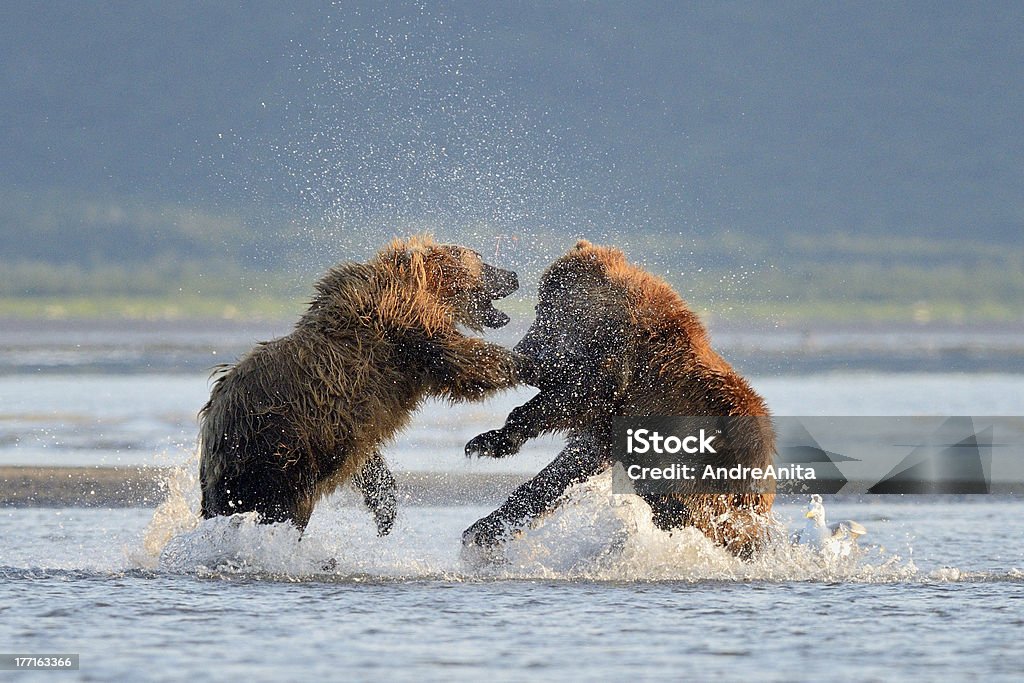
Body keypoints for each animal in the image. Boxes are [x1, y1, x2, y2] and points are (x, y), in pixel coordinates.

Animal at [197, 236, 528, 532]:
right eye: (481, 259)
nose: (513, 275)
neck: (423, 288)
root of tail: (211, 429)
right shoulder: (402, 325)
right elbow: (460, 360)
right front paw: (526, 360)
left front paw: (385, 507)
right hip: (276, 446)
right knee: (283, 507)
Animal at [460, 241, 770, 561]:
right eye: (539, 308)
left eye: (547, 310)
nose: (525, 350)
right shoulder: (605, 428)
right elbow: (567, 464)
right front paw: (483, 528)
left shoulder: (622, 365)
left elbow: (571, 397)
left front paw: (488, 441)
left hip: (701, 459)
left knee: (686, 510)